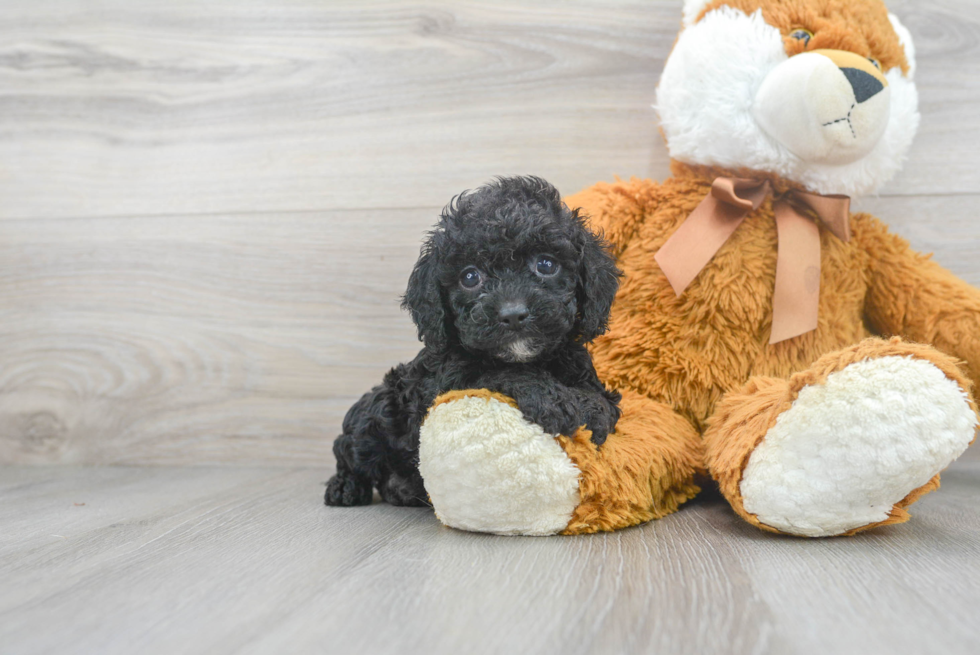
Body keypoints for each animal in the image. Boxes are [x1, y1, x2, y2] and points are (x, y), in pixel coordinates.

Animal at [328, 177, 620, 510]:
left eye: (546, 264)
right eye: (470, 277)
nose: (513, 314)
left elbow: (599, 397)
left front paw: (594, 411)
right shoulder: (446, 381)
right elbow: (498, 371)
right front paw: (553, 400)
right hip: (374, 416)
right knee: (348, 450)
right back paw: (345, 486)